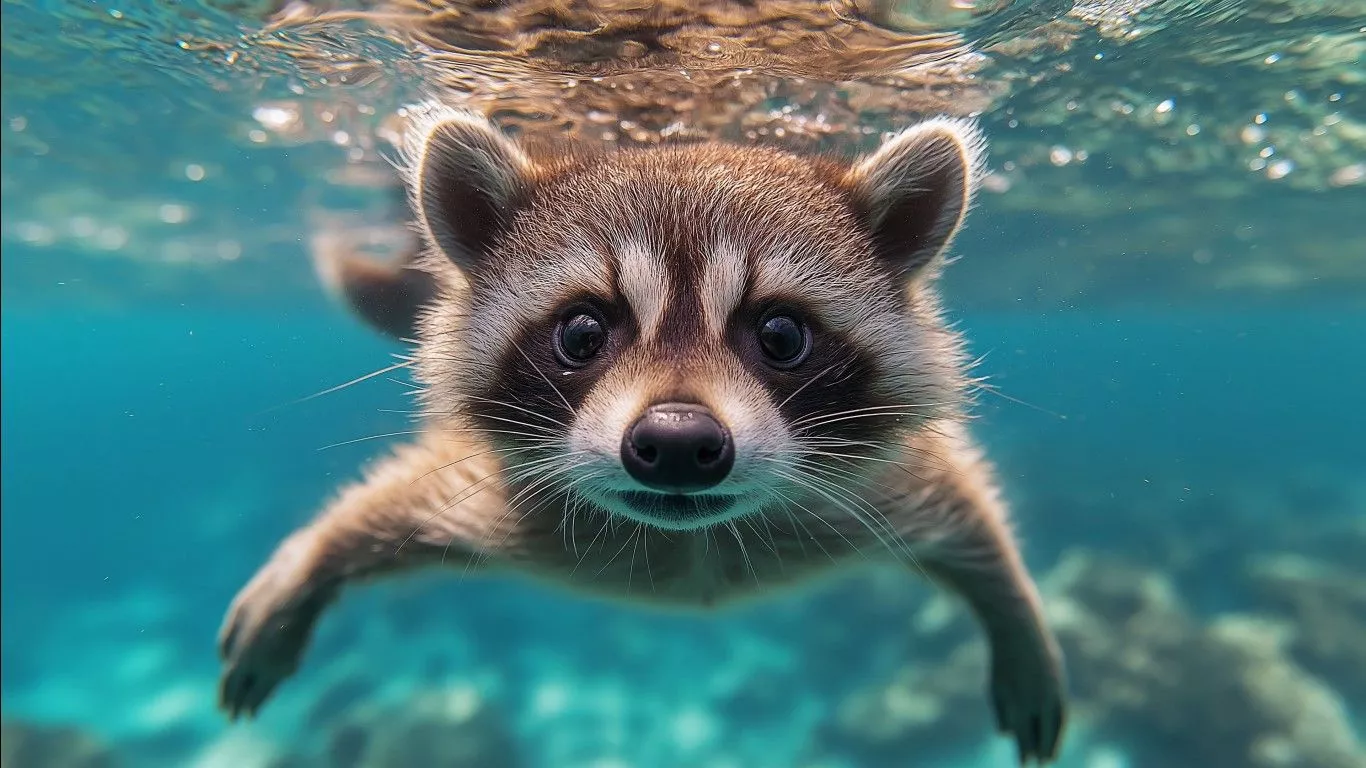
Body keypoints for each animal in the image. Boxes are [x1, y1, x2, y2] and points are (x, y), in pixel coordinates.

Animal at [219, 103, 1067, 763]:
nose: (680, 441)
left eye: (781, 334)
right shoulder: (511, 500)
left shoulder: (860, 487)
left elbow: (963, 505)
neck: (691, 541)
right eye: (583, 331)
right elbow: (392, 500)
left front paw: (1018, 614)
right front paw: (311, 559)